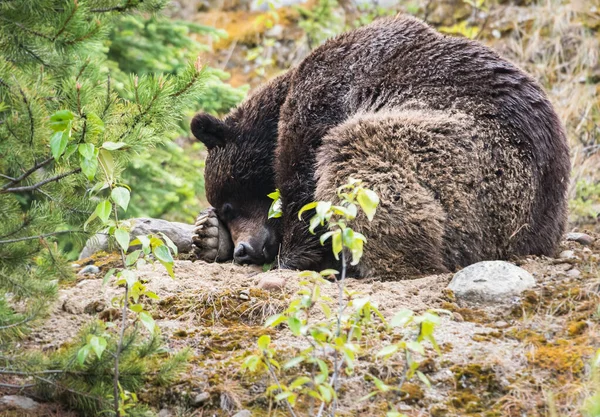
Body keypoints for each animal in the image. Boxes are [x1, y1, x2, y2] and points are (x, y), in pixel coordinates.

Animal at [190, 14, 568, 278]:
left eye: (229, 204)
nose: (244, 250)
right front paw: (210, 235)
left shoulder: (324, 97)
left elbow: (304, 184)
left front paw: (294, 258)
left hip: (478, 165)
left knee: (358, 157)